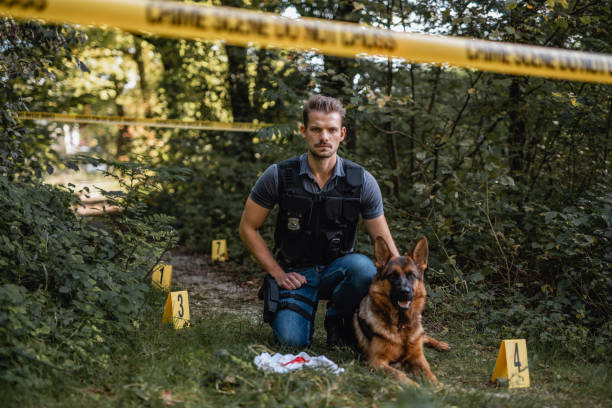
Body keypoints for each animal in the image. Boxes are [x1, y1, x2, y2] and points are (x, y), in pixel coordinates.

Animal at [354, 236, 450, 386]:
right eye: (393, 276)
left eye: (411, 275)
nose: (405, 292)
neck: (401, 325)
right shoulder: (377, 361)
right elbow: (400, 374)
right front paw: (416, 387)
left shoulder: (418, 358)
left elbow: (430, 375)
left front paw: (441, 387)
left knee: (424, 336)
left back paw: (440, 344)